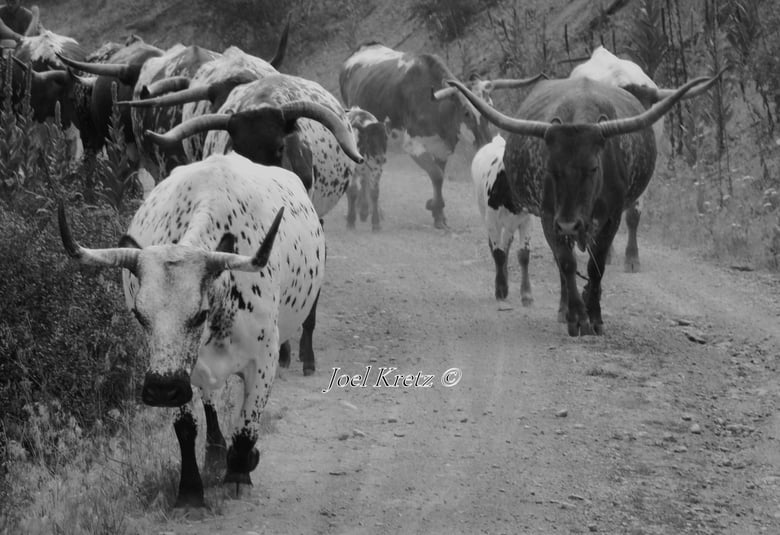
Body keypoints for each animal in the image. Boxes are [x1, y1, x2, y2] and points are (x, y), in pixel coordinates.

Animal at [58, 150, 326, 506]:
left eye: (199, 314)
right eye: (140, 316)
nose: (161, 389)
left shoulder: (264, 360)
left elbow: (247, 425)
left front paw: (240, 470)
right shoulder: (175, 370)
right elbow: (186, 427)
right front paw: (190, 490)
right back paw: (214, 452)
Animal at [338, 40, 544, 228]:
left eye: (491, 106)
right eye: (466, 112)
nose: (487, 142)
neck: (436, 108)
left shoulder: (442, 148)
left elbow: (439, 177)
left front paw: (438, 213)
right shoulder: (413, 145)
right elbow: (436, 175)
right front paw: (435, 208)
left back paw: (364, 209)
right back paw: (368, 209)